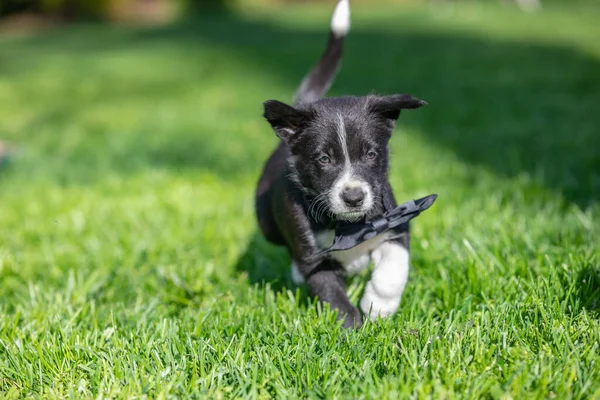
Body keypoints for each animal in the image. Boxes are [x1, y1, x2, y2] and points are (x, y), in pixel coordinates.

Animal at [255, 0, 428, 328]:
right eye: (324, 159)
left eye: (371, 154)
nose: (354, 197)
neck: (350, 225)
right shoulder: (313, 254)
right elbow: (331, 294)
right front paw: (351, 329)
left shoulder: (395, 221)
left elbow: (395, 265)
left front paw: (378, 306)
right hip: (266, 221)